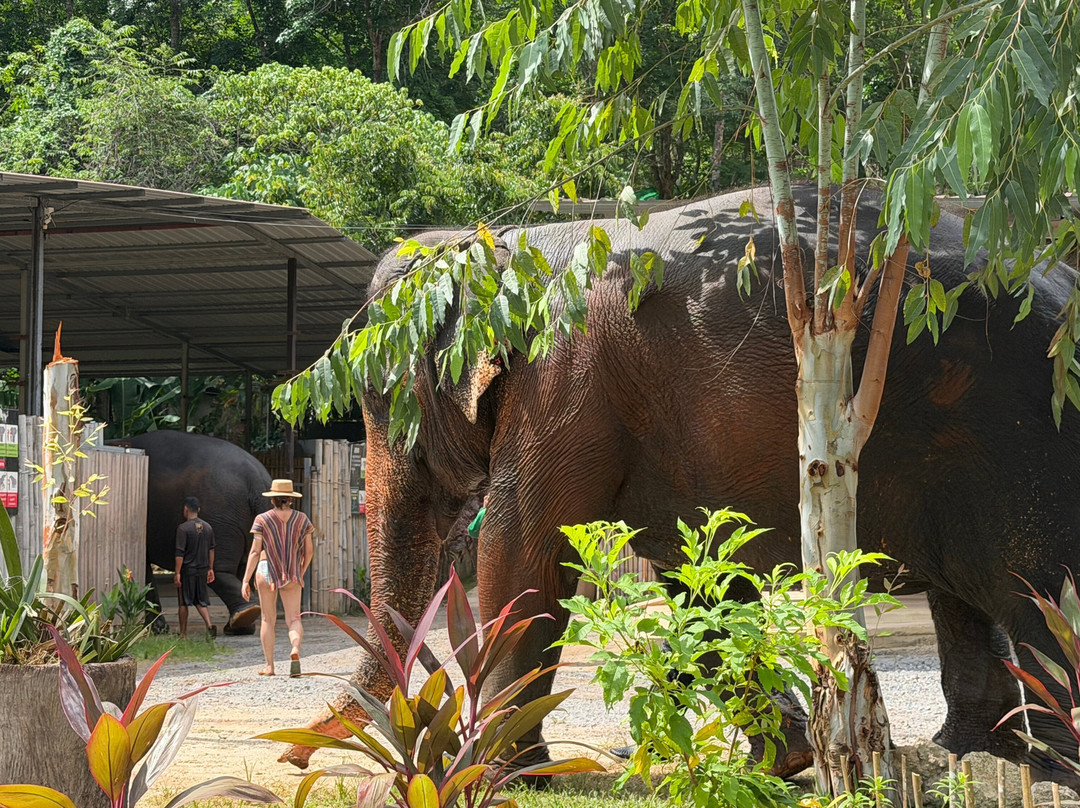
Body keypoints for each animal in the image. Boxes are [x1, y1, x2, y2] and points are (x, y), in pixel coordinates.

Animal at [118, 431, 268, 634]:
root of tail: (257, 480)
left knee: (218, 570)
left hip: (220, 518)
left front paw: (156, 630)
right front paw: (159, 629)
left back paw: (241, 619)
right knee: (244, 568)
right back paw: (239, 625)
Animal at [284, 185, 1080, 781]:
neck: (506, 241)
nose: (295, 759)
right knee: (969, 597)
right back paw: (970, 757)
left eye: (381, 398)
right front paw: (786, 762)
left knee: (1037, 595)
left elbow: (524, 549)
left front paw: (494, 775)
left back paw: (1039, 763)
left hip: (1024, 438)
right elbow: (694, 581)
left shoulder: (562, 382)